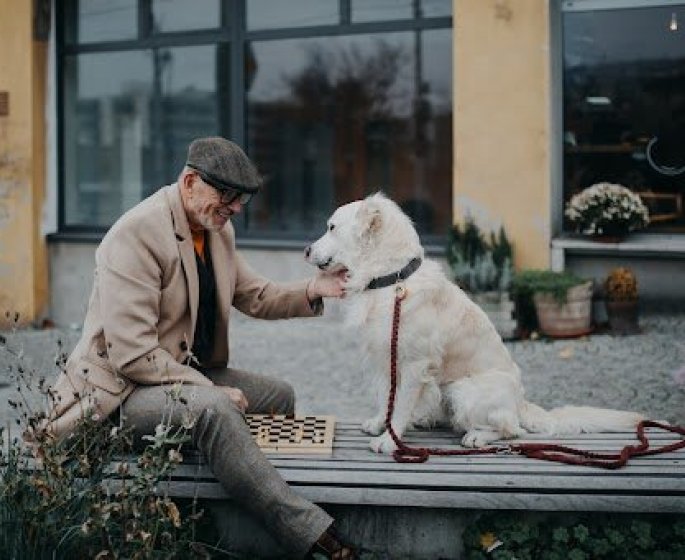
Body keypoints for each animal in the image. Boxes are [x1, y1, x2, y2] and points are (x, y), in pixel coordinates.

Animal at [304, 192, 640, 456]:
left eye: (332, 227)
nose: (306, 250)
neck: (392, 279)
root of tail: (520, 403)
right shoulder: (386, 358)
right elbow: (386, 398)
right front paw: (379, 423)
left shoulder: (414, 364)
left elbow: (399, 405)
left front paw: (390, 440)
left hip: (463, 390)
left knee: (511, 429)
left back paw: (477, 436)